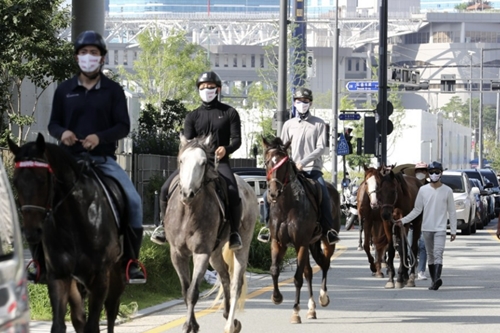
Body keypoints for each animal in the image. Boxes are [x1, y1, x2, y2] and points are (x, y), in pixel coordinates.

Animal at [8, 133, 129, 332]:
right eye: (15, 182)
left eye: (42, 180)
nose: (31, 232)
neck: (74, 219)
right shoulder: (58, 276)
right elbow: (60, 324)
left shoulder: (100, 279)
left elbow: (93, 325)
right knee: (78, 317)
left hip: (116, 274)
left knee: (111, 309)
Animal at [262, 136, 340, 322]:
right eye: (267, 162)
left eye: (284, 164)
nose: (273, 193)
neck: (286, 206)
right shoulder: (278, 242)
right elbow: (274, 270)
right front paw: (276, 297)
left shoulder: (301, 243)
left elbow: (297, 278)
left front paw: (295, 311)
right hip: (311, 244)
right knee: (309, 272)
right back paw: (311, 309)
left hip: (326, 241)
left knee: (325, 264)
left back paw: (323, 297)